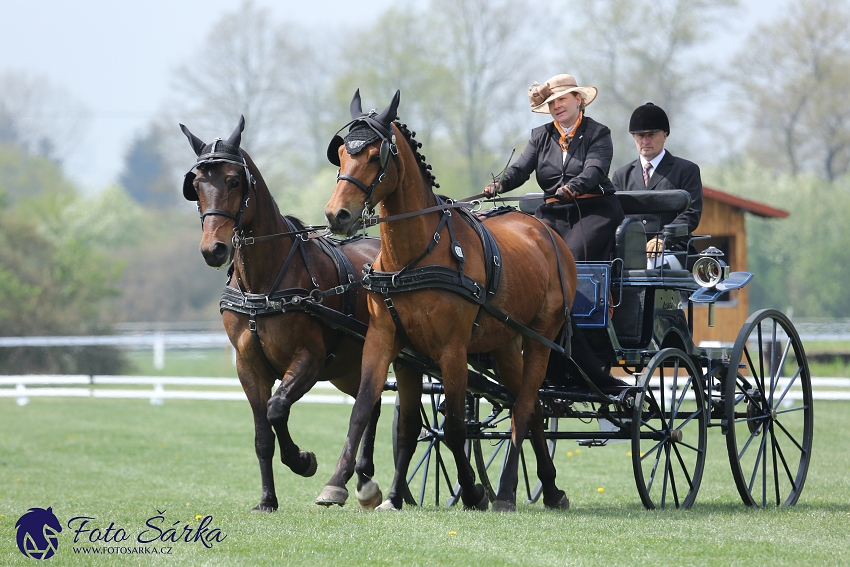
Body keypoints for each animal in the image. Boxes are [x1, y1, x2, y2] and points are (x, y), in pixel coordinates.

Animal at [181, 117, 382, 512]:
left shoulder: (309, 359)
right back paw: (363, 478)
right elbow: (262, 434)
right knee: (372, 402)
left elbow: (277, 408)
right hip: (348, 367)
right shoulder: (248, 366)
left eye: (234, 180)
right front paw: (267, 499)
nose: (214, 250)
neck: (264, 284)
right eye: (195, 185)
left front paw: (302, 460)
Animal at [320, 91, 576, 512]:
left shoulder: (452, 350)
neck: (414, 256)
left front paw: (472, 491)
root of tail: (544, 230)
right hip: (506, 344)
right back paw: (552, 488)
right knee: (532, 407)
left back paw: (506, 490)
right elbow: (376, 414)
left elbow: (455, 426)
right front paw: (347, 485)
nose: (337, 215)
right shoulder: (390, 342)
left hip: (541, 337)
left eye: (375, 155)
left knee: (523, 408)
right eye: (341, 154)